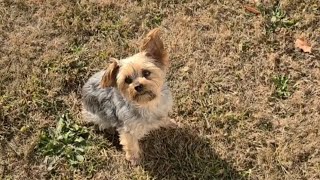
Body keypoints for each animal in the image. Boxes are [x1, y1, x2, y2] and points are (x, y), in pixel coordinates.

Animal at [80, 28, 175, 165]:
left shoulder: (161, 109)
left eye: (146, 73)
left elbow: (163, 118)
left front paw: (170, 123)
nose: (138, 86)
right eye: (127, 80)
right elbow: (130, 144)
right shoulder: (127, 129)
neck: (147, 104)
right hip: (96, 115)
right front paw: (133, 158)